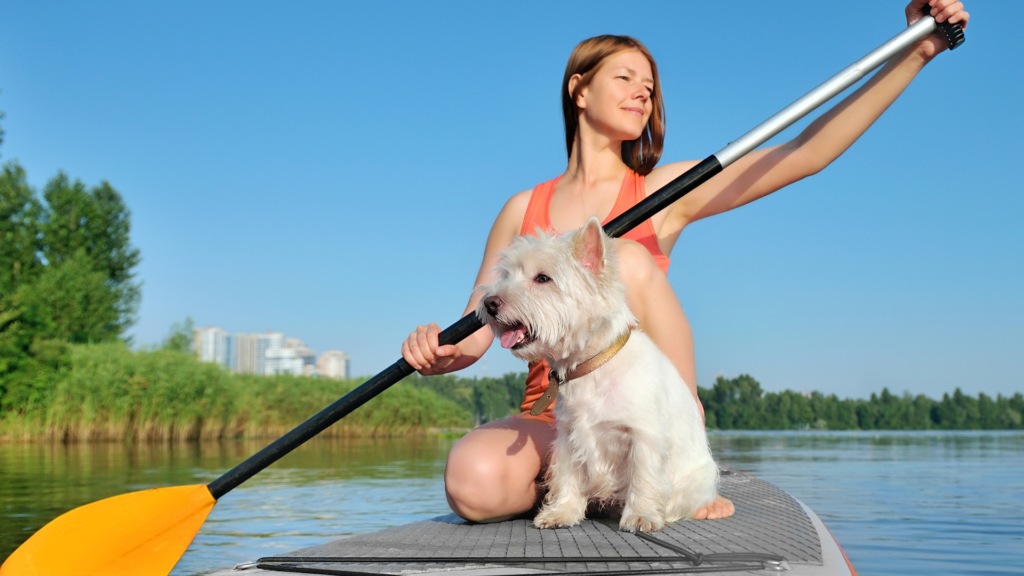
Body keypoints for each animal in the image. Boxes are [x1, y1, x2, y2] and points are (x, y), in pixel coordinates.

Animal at [475, 217, 716, 532]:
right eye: (506, 274)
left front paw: (641, 516)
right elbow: (567, 476)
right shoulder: (568, 437)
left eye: (543, 278)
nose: (489, 303)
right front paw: (561, 513)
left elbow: (644, 477)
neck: (590, 366)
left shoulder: (644, 436)